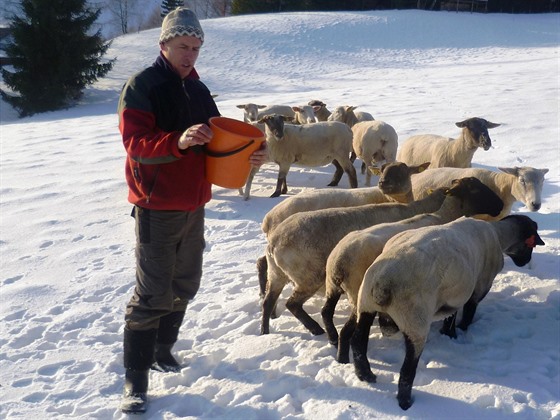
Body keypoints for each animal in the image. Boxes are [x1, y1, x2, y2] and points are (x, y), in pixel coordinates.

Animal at [260, 187, 452, 334]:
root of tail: (274, 240)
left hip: (277, 272)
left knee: (268, 300)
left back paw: (265, 331)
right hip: (308, 275)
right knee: (292, 303)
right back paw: (315, 329)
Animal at [322, 176, 506, 362]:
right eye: (474, 189)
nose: (500, 206)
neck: (444, 215)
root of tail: (338, 262)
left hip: (332, 287)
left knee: (326, 313)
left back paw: (334, 343)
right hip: (357, 294)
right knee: (347, 330)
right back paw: (343, 358)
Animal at [352, 215, 544, 408]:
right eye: (531, 245)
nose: (525, 263)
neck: (499, 234)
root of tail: (382, 283)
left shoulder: (454, 296)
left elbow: (451, 314)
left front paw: (449, 333)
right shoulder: (479, 286)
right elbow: (468, 313)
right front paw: (461, 330)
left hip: (365, 305)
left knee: (358, 344)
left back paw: (366, 375)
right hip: (415, 322)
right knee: (407, 371)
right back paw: (405, 403)